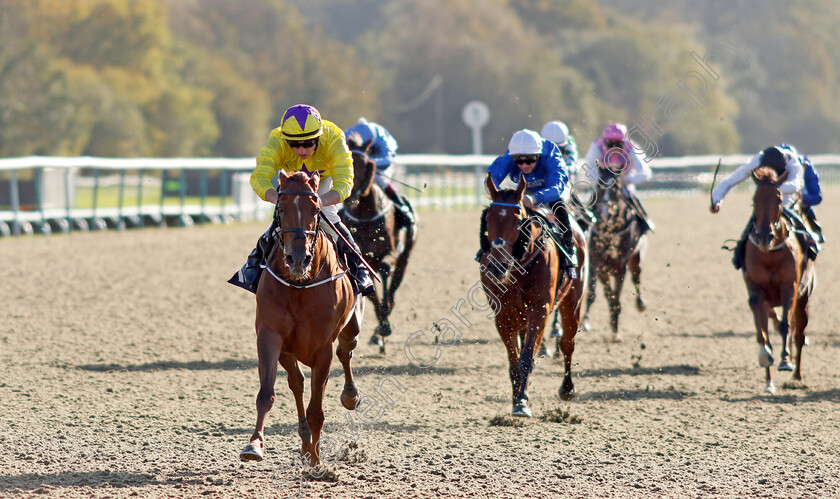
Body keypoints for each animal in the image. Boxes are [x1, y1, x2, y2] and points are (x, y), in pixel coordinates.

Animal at [240, 171, 364, 464]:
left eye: (316, 209)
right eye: (281, 208)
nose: (297, 259)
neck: (300, 286)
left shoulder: (322, 348)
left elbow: (316, 409)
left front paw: (318, 462)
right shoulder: (270, 336)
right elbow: (267, 394)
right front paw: (254, 445)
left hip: (350, 326)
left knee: (346, 350)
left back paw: (350, 395)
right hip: (288, 349)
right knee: (296, 382)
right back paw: (305, 440)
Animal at [342, 151, 416, 356]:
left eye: (365, 164)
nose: (351, 196)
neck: (364, 215)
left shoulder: (389, 254)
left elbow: (384, 273)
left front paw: (384, 327)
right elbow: (371, 295)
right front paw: (382, 328)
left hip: (404, 258)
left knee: (393, 291)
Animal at [480, 174, 592, 416]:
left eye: (517, 220)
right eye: (489, 219)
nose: (497, 266)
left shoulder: (539, 310)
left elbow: (527, 357)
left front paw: (522, 402)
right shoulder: (503, 316)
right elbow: (514, 361)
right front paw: (517, 399)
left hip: (572, 300)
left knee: (567, 343)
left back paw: (567, 389)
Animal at [580, 169, 648, 340]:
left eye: (616, 187)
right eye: (599, 185)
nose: (606, 213)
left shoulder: (620, 266)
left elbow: (616, 297)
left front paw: (615, 330)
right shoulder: (597, 264)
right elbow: (598, 295)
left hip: (635, 257)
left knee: (636, 277)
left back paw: (640, 303)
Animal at [744, 168, 816, 394]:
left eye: (778, 199)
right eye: (754, 200)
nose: (764, 236)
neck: (769, 255)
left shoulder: (789, 289)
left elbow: (786, 325)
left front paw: (785, 360)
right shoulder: (757, 292)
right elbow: (762, 332)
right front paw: (765, 359)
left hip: (803, 299)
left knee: (798, 333)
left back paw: (796, 375)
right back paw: (770, 381)